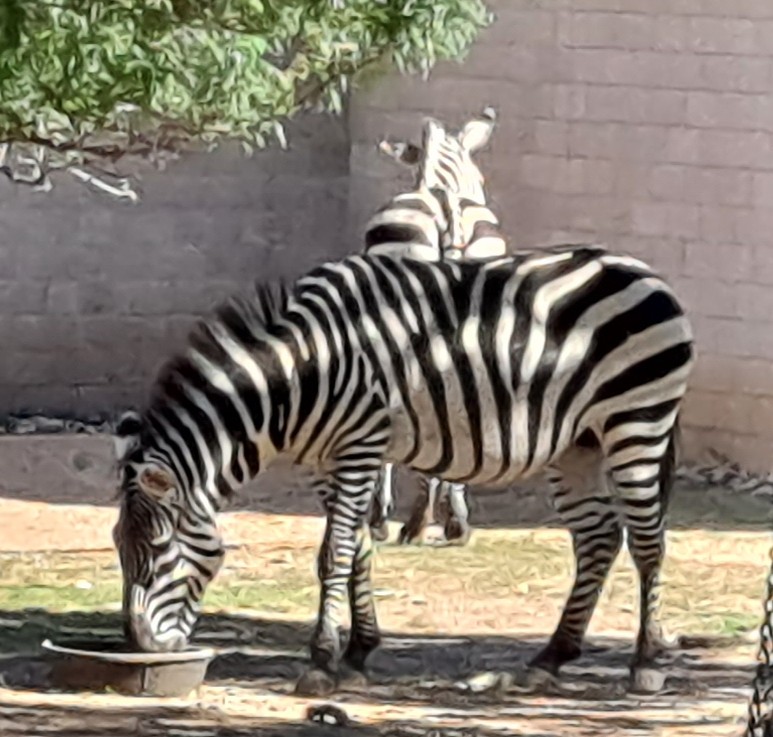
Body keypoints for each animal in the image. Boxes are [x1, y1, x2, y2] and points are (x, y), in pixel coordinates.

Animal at [112, 243, 695, 698]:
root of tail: (643, 270)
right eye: (118, 545)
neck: (302, 374)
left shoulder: (360, 445)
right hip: (578, 444)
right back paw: (552, 657)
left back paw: (645, 664)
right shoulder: (327, 462)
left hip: (636, 422)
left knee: (647, 544)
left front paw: (321, 662)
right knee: (598, 539)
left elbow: (334, 554)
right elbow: (358, 549)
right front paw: (357, 651)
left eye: (159, 549)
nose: (141, 647)